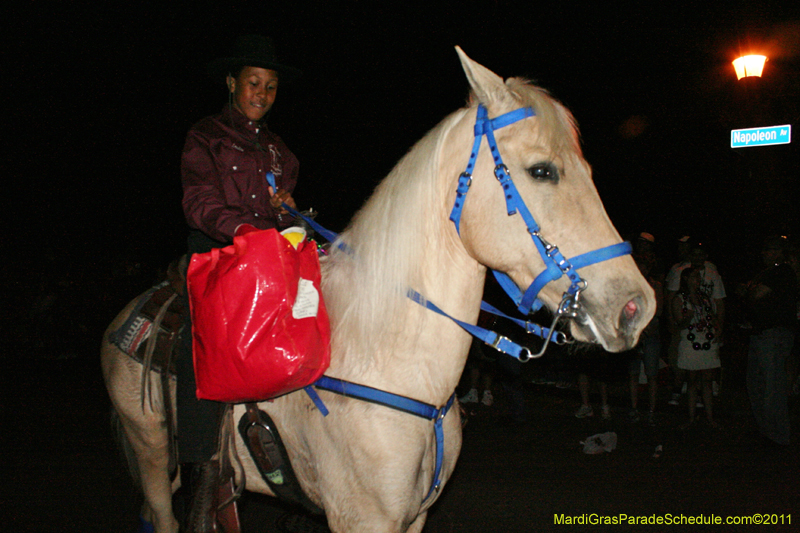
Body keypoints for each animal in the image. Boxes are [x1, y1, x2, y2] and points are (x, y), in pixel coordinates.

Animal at [101, 47, 648, 528]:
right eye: (542, 171)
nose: (636, 306)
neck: (386, 357)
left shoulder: (414, 517)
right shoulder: (362, 519)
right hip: (152, 454)